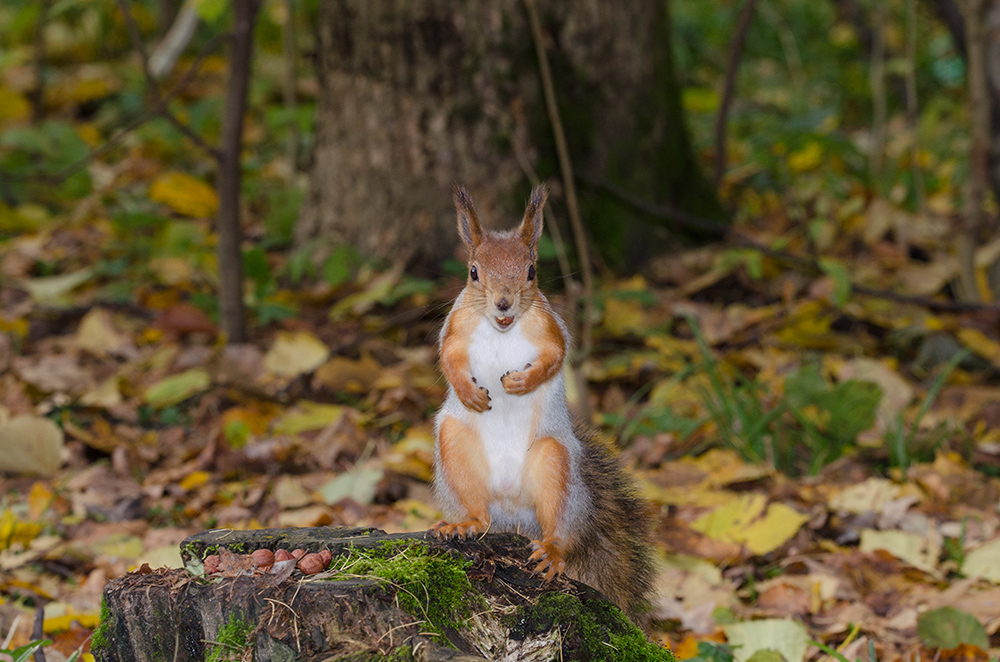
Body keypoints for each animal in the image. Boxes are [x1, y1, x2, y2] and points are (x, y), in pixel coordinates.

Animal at [430, 184, 656, 624]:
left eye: (531, 271)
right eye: (473, 272)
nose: (503, 303)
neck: (502, 330)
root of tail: (514, 513)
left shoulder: (550, 327)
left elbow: (555, 355)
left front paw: (522, 382)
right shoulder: (456, 328)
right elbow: (448, 358)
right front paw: (469, 392)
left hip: (555, 467)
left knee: (560, 529)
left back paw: (551, 551)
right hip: (455, 451)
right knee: (478, 511)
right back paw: (465, 524)